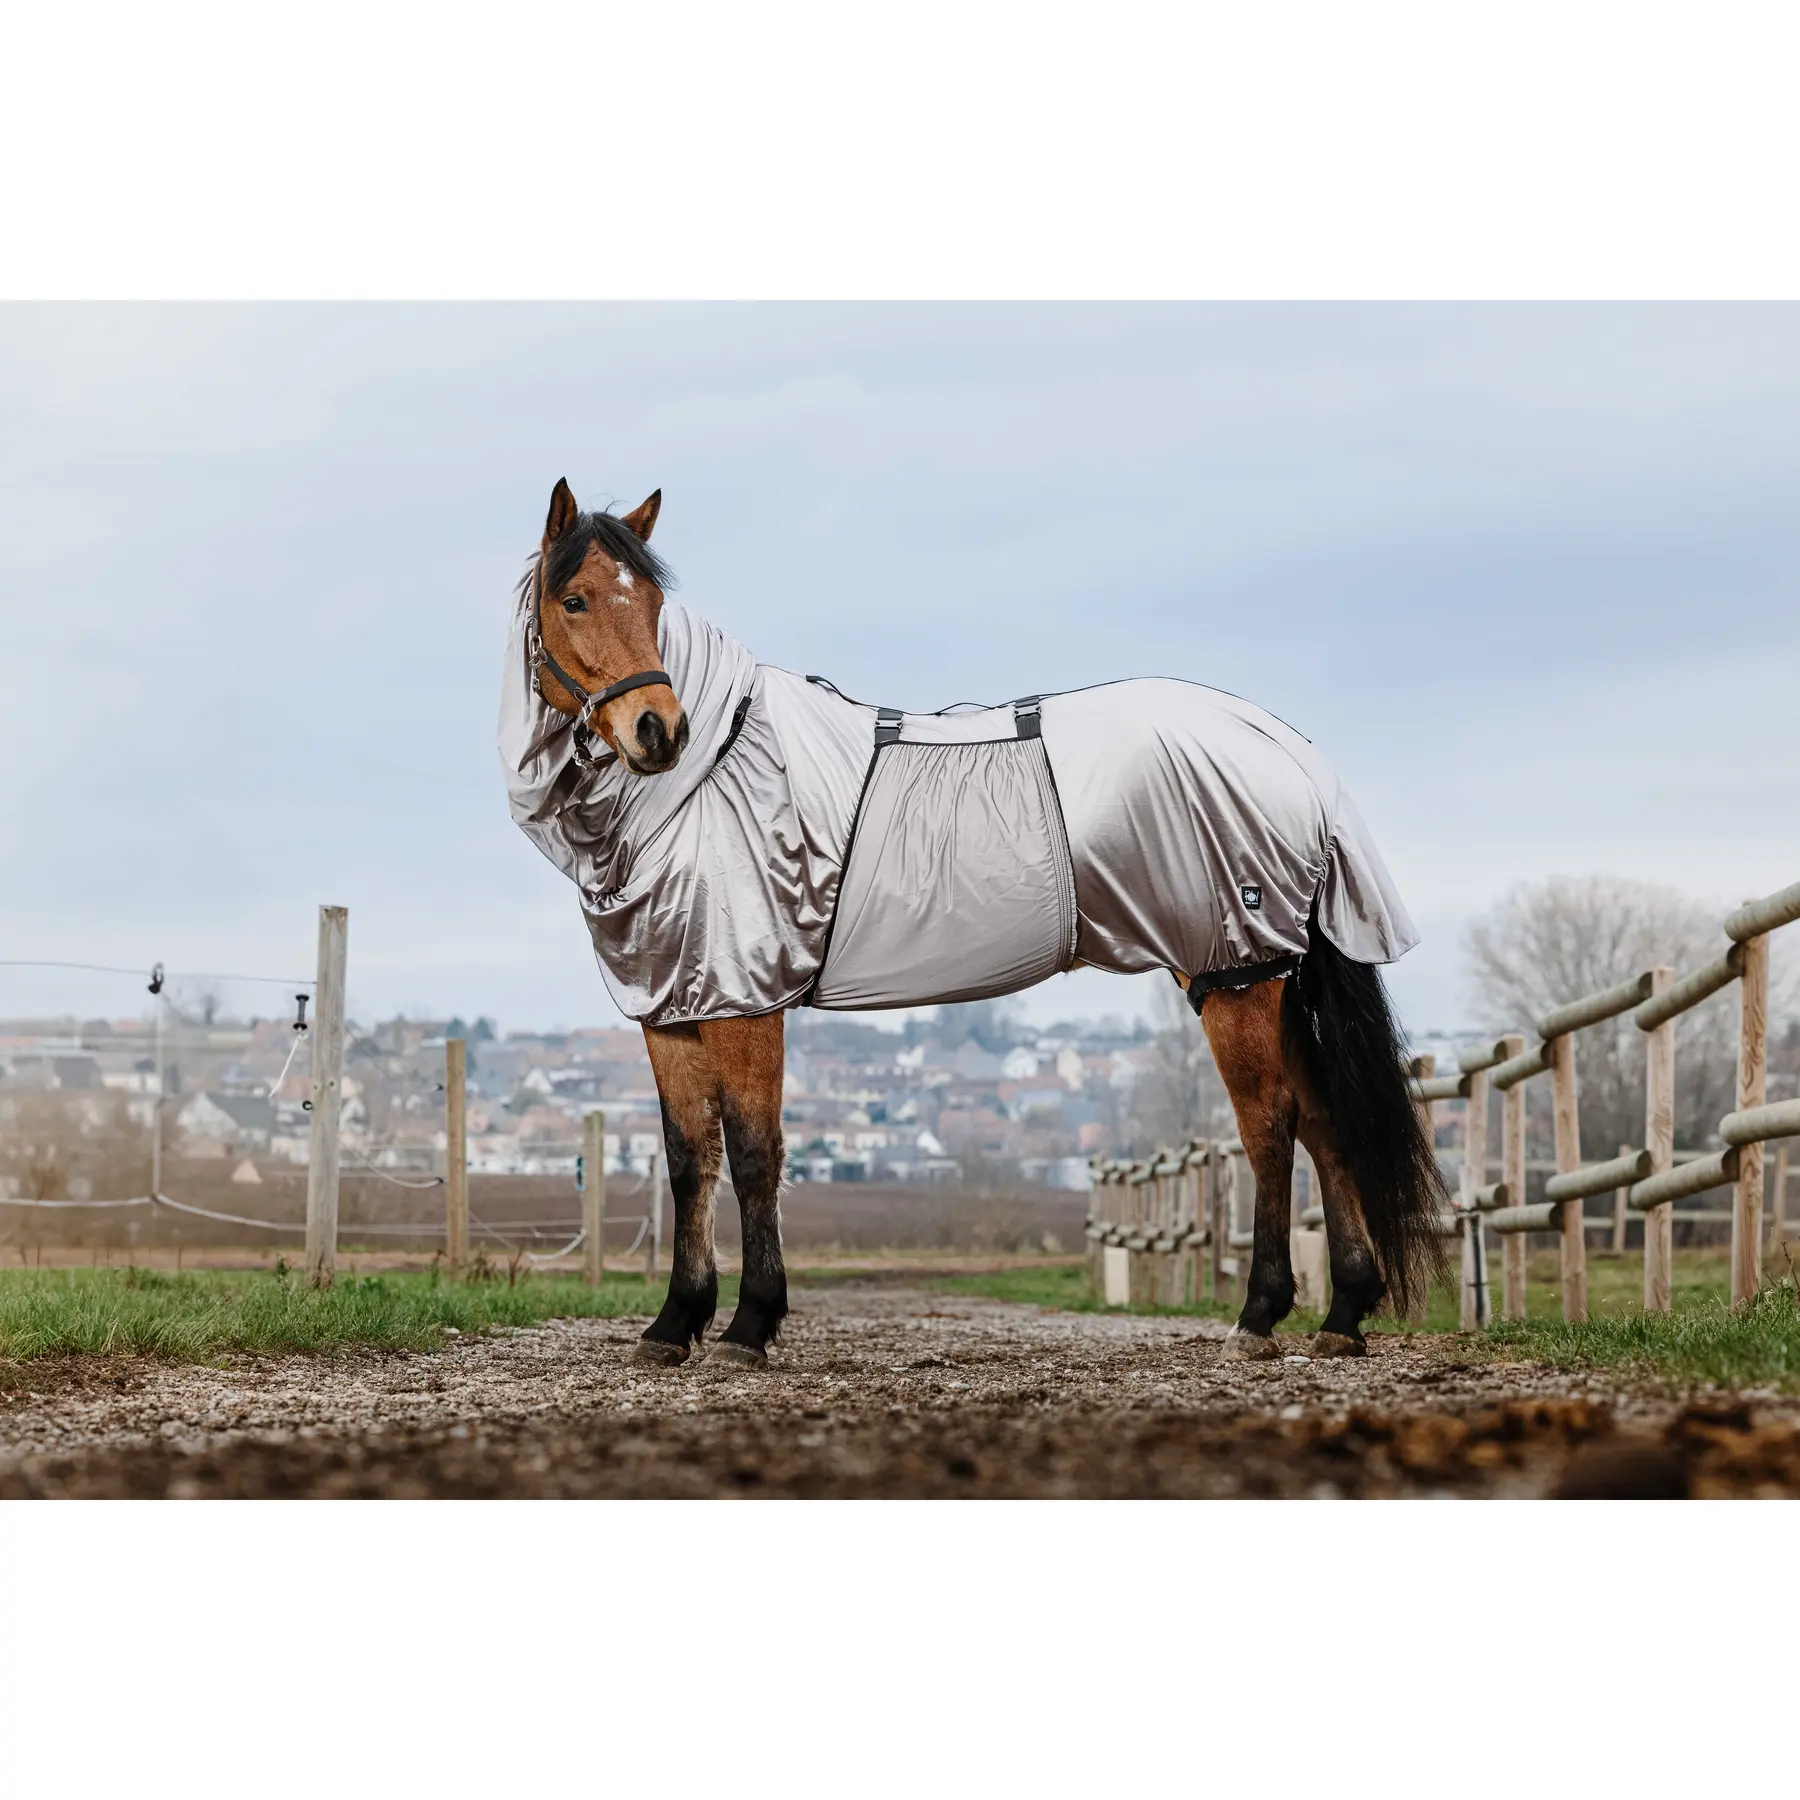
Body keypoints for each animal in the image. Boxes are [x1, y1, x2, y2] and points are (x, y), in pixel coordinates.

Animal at [501, 478, 1447, 1369]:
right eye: (574, 599)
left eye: (655, 605)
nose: (658, 730)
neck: (715, 775)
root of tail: (1291, 753)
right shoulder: (674, 1004)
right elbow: (687, 1159)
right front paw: (673, 1324)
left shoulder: (746, 1000)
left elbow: (756, 1154)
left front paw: (748, 1325)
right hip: (1262, 971)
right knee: (1322, 1119)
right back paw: (1343, 1314)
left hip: (1234, 972)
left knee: (1271, 1125)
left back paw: (1259, 1316)